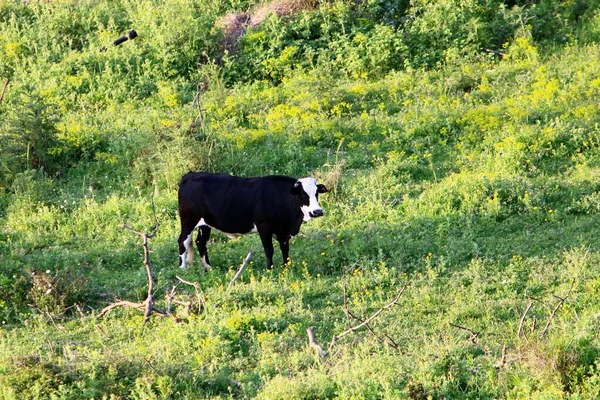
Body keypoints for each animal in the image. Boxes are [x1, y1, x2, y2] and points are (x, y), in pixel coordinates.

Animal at [178, 173, 328, 270]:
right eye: (303, 194)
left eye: (317, 193)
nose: (317, 211)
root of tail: (190, 175)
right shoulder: (264, 227)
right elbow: (269, 250)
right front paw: (270, 269)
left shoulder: (283, 232)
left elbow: (285, 250)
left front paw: (286, 268)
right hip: (188, 221)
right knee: (183, 241)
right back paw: (182, 268)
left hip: (205, 224)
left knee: (200, 243)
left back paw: (208, 267)